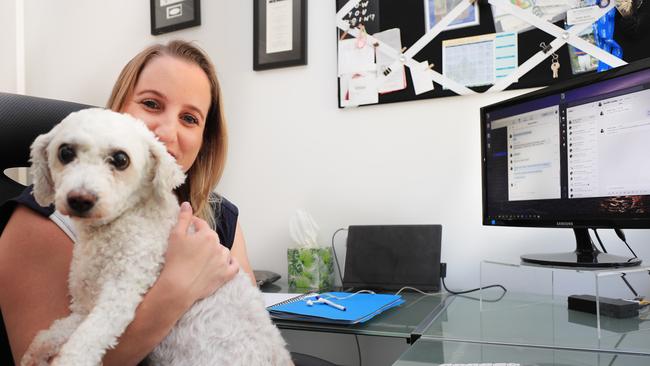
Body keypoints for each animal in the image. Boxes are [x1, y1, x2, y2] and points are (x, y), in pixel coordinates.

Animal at [22, 108, 292, 366]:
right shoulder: (83, 306)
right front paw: (35, 353)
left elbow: (86, 340)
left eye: (121, 159)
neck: (116, 224)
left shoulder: (123, 290)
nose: (80, 199)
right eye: (65, 152)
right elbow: (55, 331)